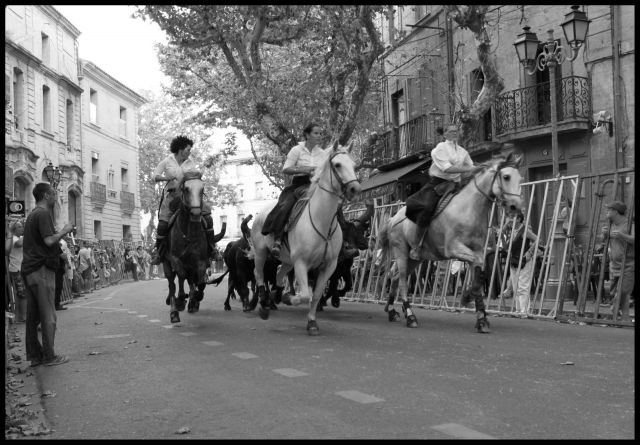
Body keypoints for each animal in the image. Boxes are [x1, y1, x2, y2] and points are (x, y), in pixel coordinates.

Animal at [250, 141, 360, 332]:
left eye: (354, 165)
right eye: (337, 164)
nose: (355, 189)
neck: (321, 221)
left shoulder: (328, 266)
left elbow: (315, 296)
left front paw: (312, 322)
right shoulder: (301, 263)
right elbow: (305, 296)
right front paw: (289, 298)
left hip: (287, 260)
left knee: (279, 274)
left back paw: (276, 294)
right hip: (261, 252)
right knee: (259, 275)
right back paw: (265, 304)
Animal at [378, 151, 524, 332]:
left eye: (520, 178)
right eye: (506, 176)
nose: (515, 207)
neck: (468, 209)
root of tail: (393, 218)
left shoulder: (477, 250)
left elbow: (479, 275)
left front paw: (481, 317)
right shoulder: (454, 248)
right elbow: (478, 271)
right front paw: (468, 298)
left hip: (414, 258)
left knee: (394, 276)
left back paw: (393, 311)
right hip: (401, 251)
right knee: (403, 280)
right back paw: (410, 315)